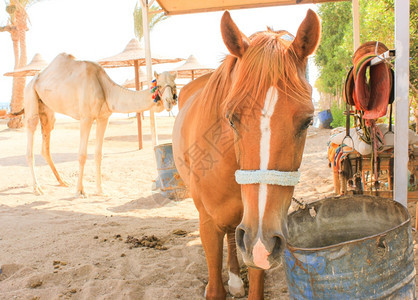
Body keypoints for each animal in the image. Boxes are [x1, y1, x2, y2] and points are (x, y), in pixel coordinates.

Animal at [24, 52, 178, 197]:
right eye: (159, 85)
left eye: (174, 85)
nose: (169, 101)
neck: (105, 89)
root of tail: (34, 79)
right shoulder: (86, 118)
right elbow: (82, 155)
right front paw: (80, 191)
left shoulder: (104, 117)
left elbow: (98, 154)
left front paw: (100, 191)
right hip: (31, 95)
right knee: (31, 133)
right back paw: (37, 188)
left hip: (47, 110)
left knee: (46, 140)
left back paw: (62, 181)